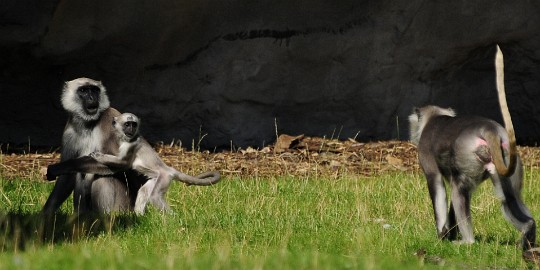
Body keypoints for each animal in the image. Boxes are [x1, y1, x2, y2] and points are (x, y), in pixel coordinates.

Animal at [42, 77, 147, 214]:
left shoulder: (109, 118)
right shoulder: (69, 131)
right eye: (83, 90)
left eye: (94, 90)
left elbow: (124, 163)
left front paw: (57, 168)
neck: (88, 123)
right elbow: (67, 178)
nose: (92, 97)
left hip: (123, 205)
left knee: (100, 176)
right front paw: (43, 215)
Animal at [47, 113, 221, 214]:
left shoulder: (132, 144)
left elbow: (123, 163)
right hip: (156, 179)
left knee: (155, 197)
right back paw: (139, 216)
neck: (128, 138)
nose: (130, 129)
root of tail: (168, 168)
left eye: (133, 124)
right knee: (144, 192)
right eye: (127, 124)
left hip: (164, 177)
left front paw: (98, 155)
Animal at [410, 45, 536, 250]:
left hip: (467, 154)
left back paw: (467, 242)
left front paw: (442, 236)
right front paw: (449, 234)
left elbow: (437, 186)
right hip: (506, 158)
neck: (435, 118)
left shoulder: (425, 151)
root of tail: (489, 129)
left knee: (458, 189)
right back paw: (528, 231)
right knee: (509, 198)